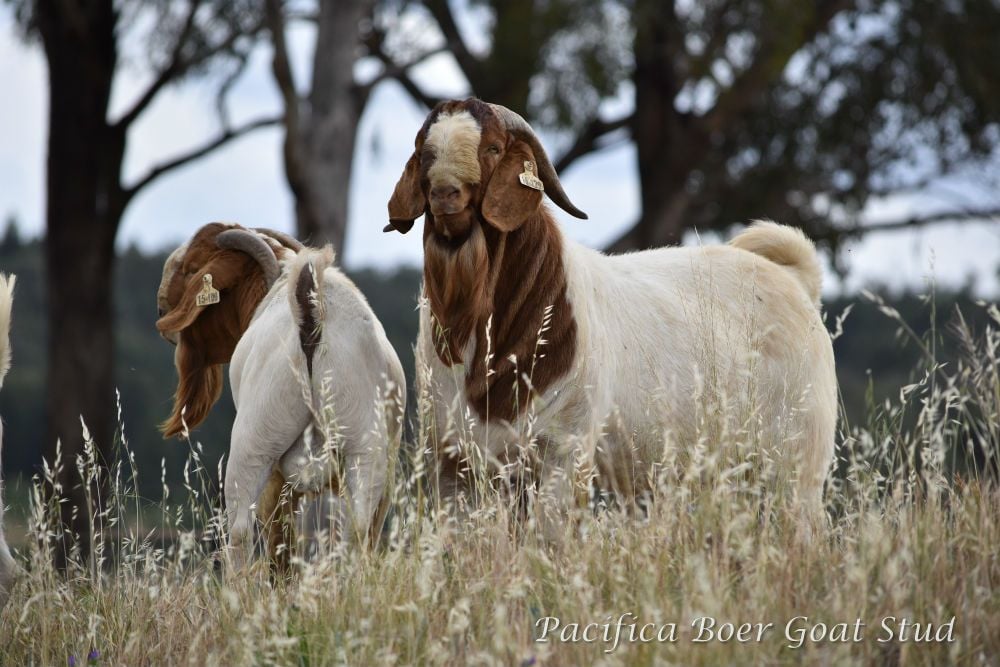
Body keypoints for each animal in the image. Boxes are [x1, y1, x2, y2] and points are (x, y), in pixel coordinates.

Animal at [157, 224, 405, 566]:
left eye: (192, 268)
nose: (160, 307)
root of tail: (311, 311)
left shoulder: (277, 478)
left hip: (256, 445)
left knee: (242, 533)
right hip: (366, 450)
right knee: (358, 530)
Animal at [385, 98, 837, 530]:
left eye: (493, 148)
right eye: (424, 151)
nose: (445, 194)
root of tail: (795, 281)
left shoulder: (564, 450)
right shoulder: (454, 460)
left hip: (797, 463)